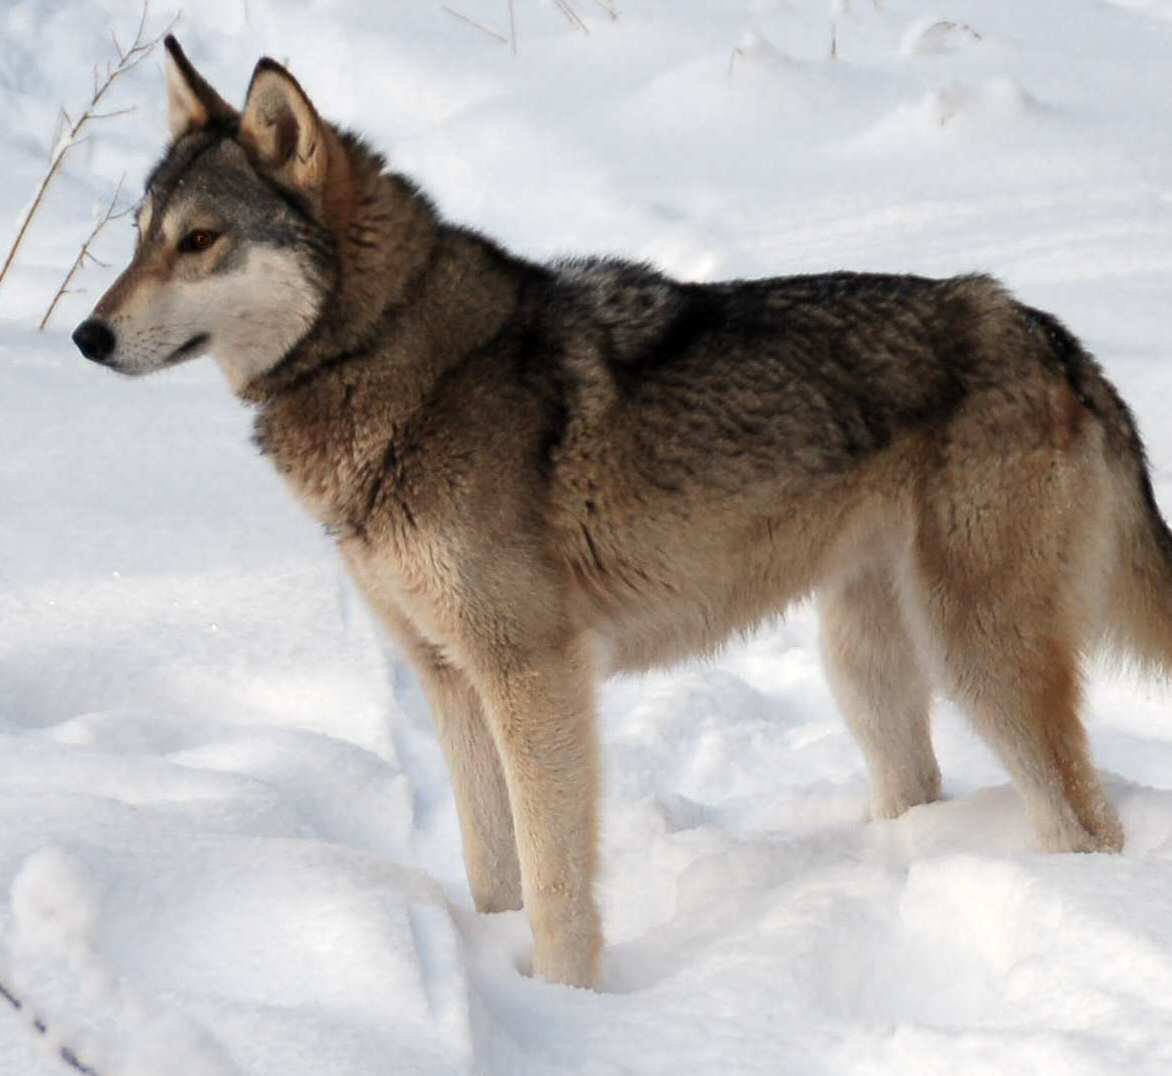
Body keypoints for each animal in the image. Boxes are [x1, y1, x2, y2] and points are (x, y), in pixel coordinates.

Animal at [73, 37, 1172, 989]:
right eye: (138, 240)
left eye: (200, 241)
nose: (86, 336)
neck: (401, 365)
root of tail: (1044, 327)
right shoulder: (449, 681)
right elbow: (492, 871)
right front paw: (499, 964)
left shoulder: (534, 675)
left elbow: (558, 884)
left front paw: (567, 1005)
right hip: (863, 667)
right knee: (928, 789)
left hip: (978, 659)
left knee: (1087, 820)